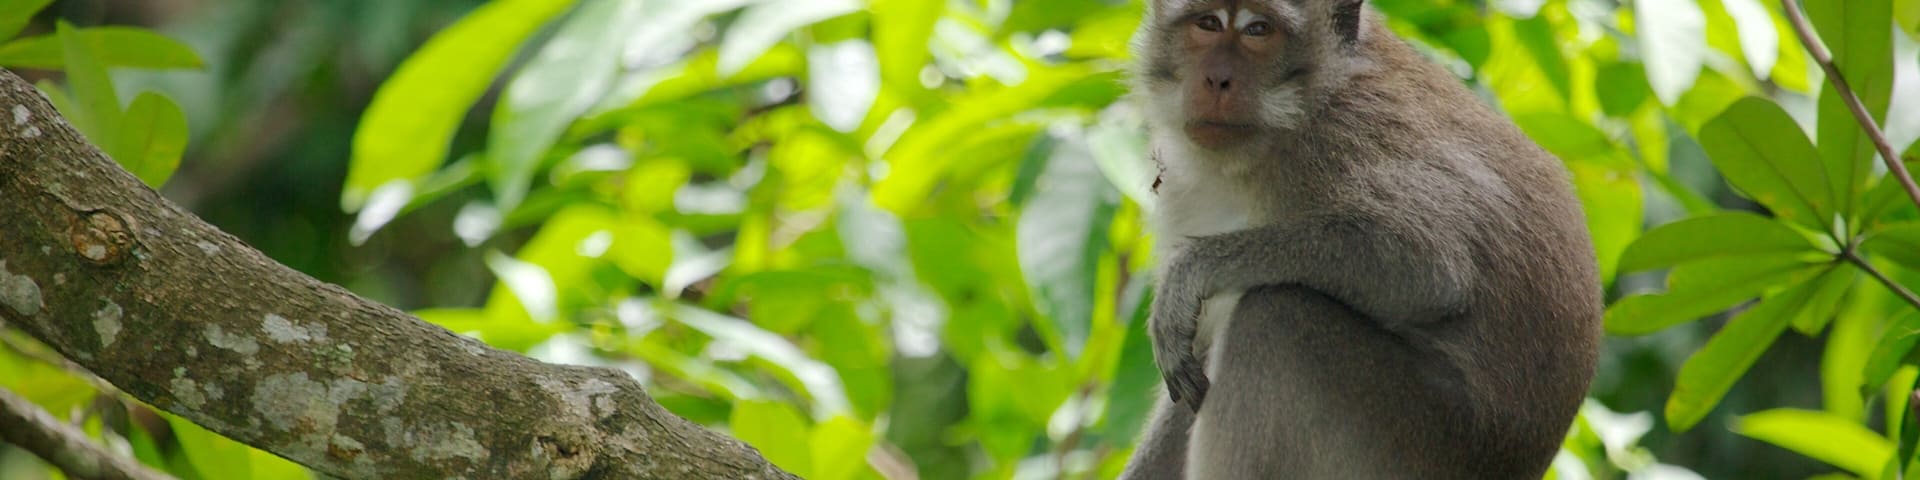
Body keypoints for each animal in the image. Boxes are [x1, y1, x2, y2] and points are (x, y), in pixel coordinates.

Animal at [1115, 0, 1603, 478]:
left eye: (1258, 29)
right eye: (1208, 23)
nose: (1217, 79)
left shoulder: (1346, 139)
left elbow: (1428, 264)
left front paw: (1191, 272)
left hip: (1416, 440)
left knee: (1275, 316)